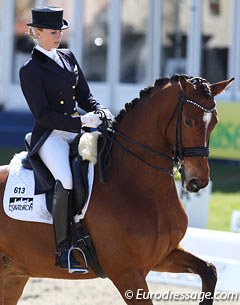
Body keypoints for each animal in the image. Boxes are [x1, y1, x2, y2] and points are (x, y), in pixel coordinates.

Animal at [0, 73, 233, 302]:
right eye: (188, 121)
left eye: (214, 122)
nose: (198, 180)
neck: (133, 184)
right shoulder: (127, 273)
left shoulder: (164, 256)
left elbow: (209, 270)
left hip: (13, 277)